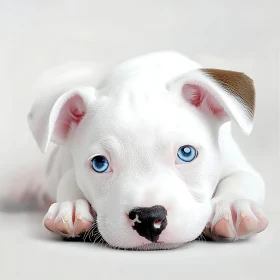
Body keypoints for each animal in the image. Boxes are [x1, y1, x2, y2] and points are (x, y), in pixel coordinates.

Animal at [26, 51, 270, 250]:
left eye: (186, 153)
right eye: (99, 163)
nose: (149, 217)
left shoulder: (236, 164)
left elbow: (241, 179)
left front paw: (232, 207)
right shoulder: (69, 166)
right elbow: (68, 181)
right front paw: (71, 207)